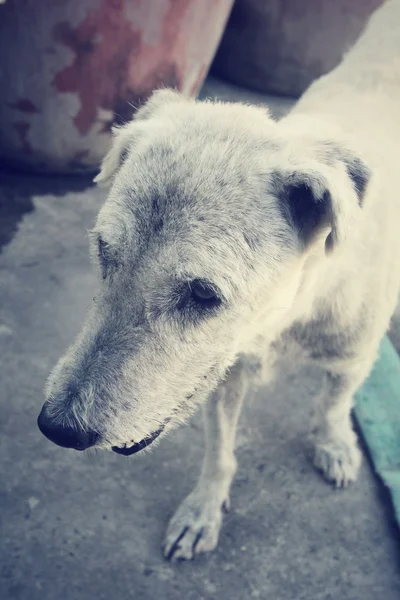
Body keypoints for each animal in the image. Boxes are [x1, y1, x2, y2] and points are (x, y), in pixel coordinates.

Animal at [38, 0, 400, 564]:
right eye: (103, 251)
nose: (57, 429)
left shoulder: (354, 357)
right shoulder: (221, 378)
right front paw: (203, 511)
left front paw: (334, 442)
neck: (283, 320)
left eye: (204, 293)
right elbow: (220, 454)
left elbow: (335, 403)